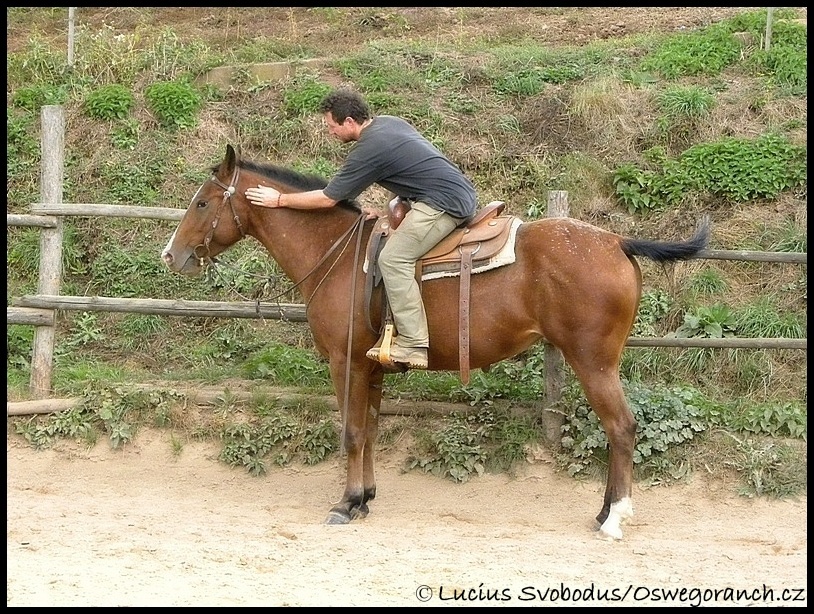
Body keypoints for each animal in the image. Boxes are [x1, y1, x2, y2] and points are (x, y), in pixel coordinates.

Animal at [163, 143, 712, 540]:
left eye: (203, 202)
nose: (171, 255)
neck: (339, 255)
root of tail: (617, 241)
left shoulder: (346, 362)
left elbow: (352, 432)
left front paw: (345, 504)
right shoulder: (373, 367)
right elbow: (371, 430)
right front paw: (365, 497)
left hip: (593, 362)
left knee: (621, 428)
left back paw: (614, 518)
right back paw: (602, 512)